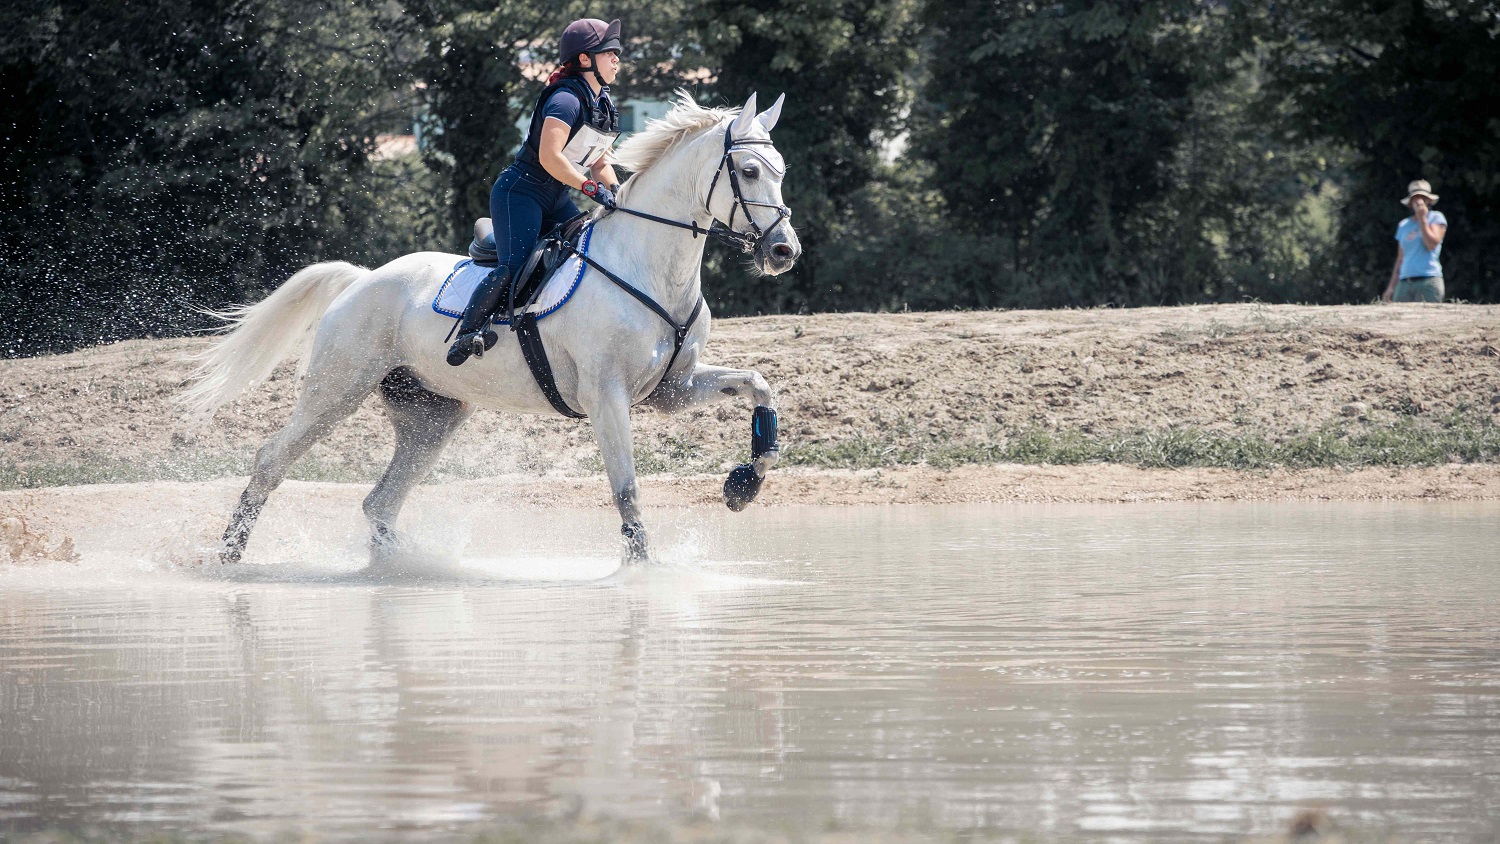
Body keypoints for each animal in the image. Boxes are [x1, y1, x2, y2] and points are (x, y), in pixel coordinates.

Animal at [179, 91, 801, 565]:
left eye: (781, 171)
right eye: (748, 171)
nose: (784, 251)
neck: (649, 264)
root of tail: (362, 279)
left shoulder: (672, 390)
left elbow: (760, 385)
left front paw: (745, 484)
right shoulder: (607, 398)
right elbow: (626, 489)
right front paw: (642, 571)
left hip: (431, 415)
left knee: (380, 502)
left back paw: (403, 569)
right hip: (337, 389)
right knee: (271, 461)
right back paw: (229, 555)